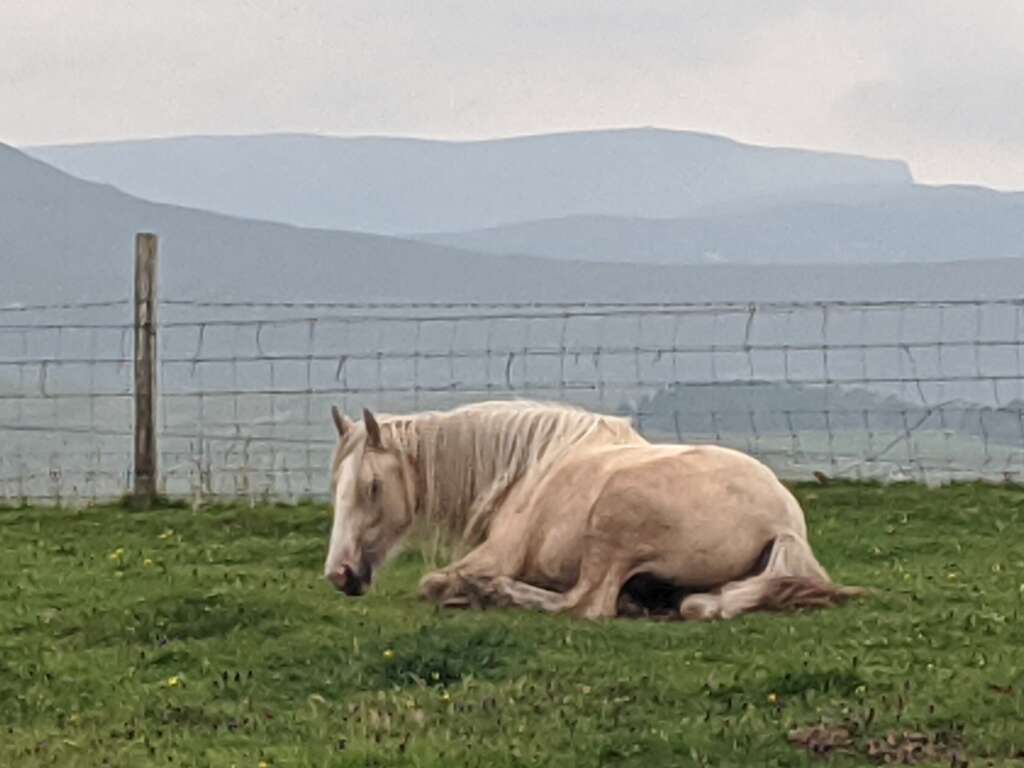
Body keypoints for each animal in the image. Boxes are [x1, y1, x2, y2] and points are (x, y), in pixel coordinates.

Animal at [321, 399, 864, 622]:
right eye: (336, 485)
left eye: (371, 486)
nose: (339, 574)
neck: (530, 467)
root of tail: (783, 522)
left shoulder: (495, 556)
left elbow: (432, 582)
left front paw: (469, 592)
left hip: (613, 522)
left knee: (587, 604)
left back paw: (499, 594)